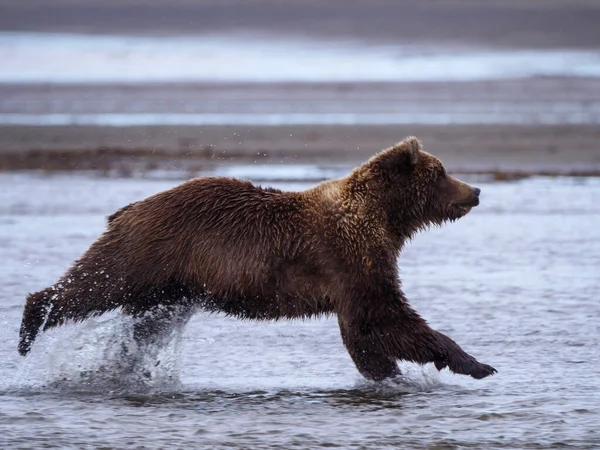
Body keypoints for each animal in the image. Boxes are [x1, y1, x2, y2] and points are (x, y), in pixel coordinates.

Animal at [18, 136, 496, 380]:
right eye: (441, 172)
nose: (475, 190)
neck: (384, 219)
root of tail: (131, 207)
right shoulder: (351, 257)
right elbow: (384, 318)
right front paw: (474, 363)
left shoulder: (358, 268)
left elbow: (366, 332)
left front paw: (387, 372)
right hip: (151, 249)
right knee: (96, 283)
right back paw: (29, 326)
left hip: (171, 287)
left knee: (143, 325)